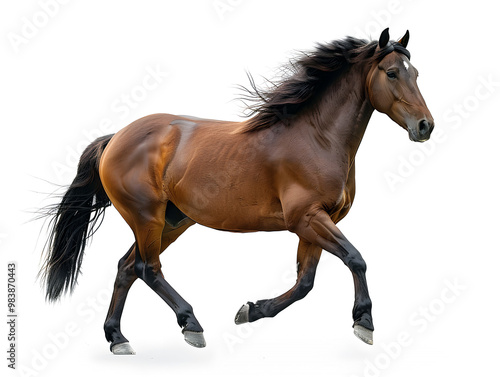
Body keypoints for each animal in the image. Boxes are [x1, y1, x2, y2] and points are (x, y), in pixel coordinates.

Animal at [40, 27, 434, 354]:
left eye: (415, 73)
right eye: (391, 73)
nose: (425, 126)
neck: (317, 138)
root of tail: (116, 137)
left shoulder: (317, 222)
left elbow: (305, 282)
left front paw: (251, 310)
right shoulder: (307, 218)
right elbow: (355, 258)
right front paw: (364, 322)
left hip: (172, 221)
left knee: (126, 268)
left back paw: (117, 338)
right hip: (146, 216)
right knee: (147, 268)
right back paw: (191, 325)